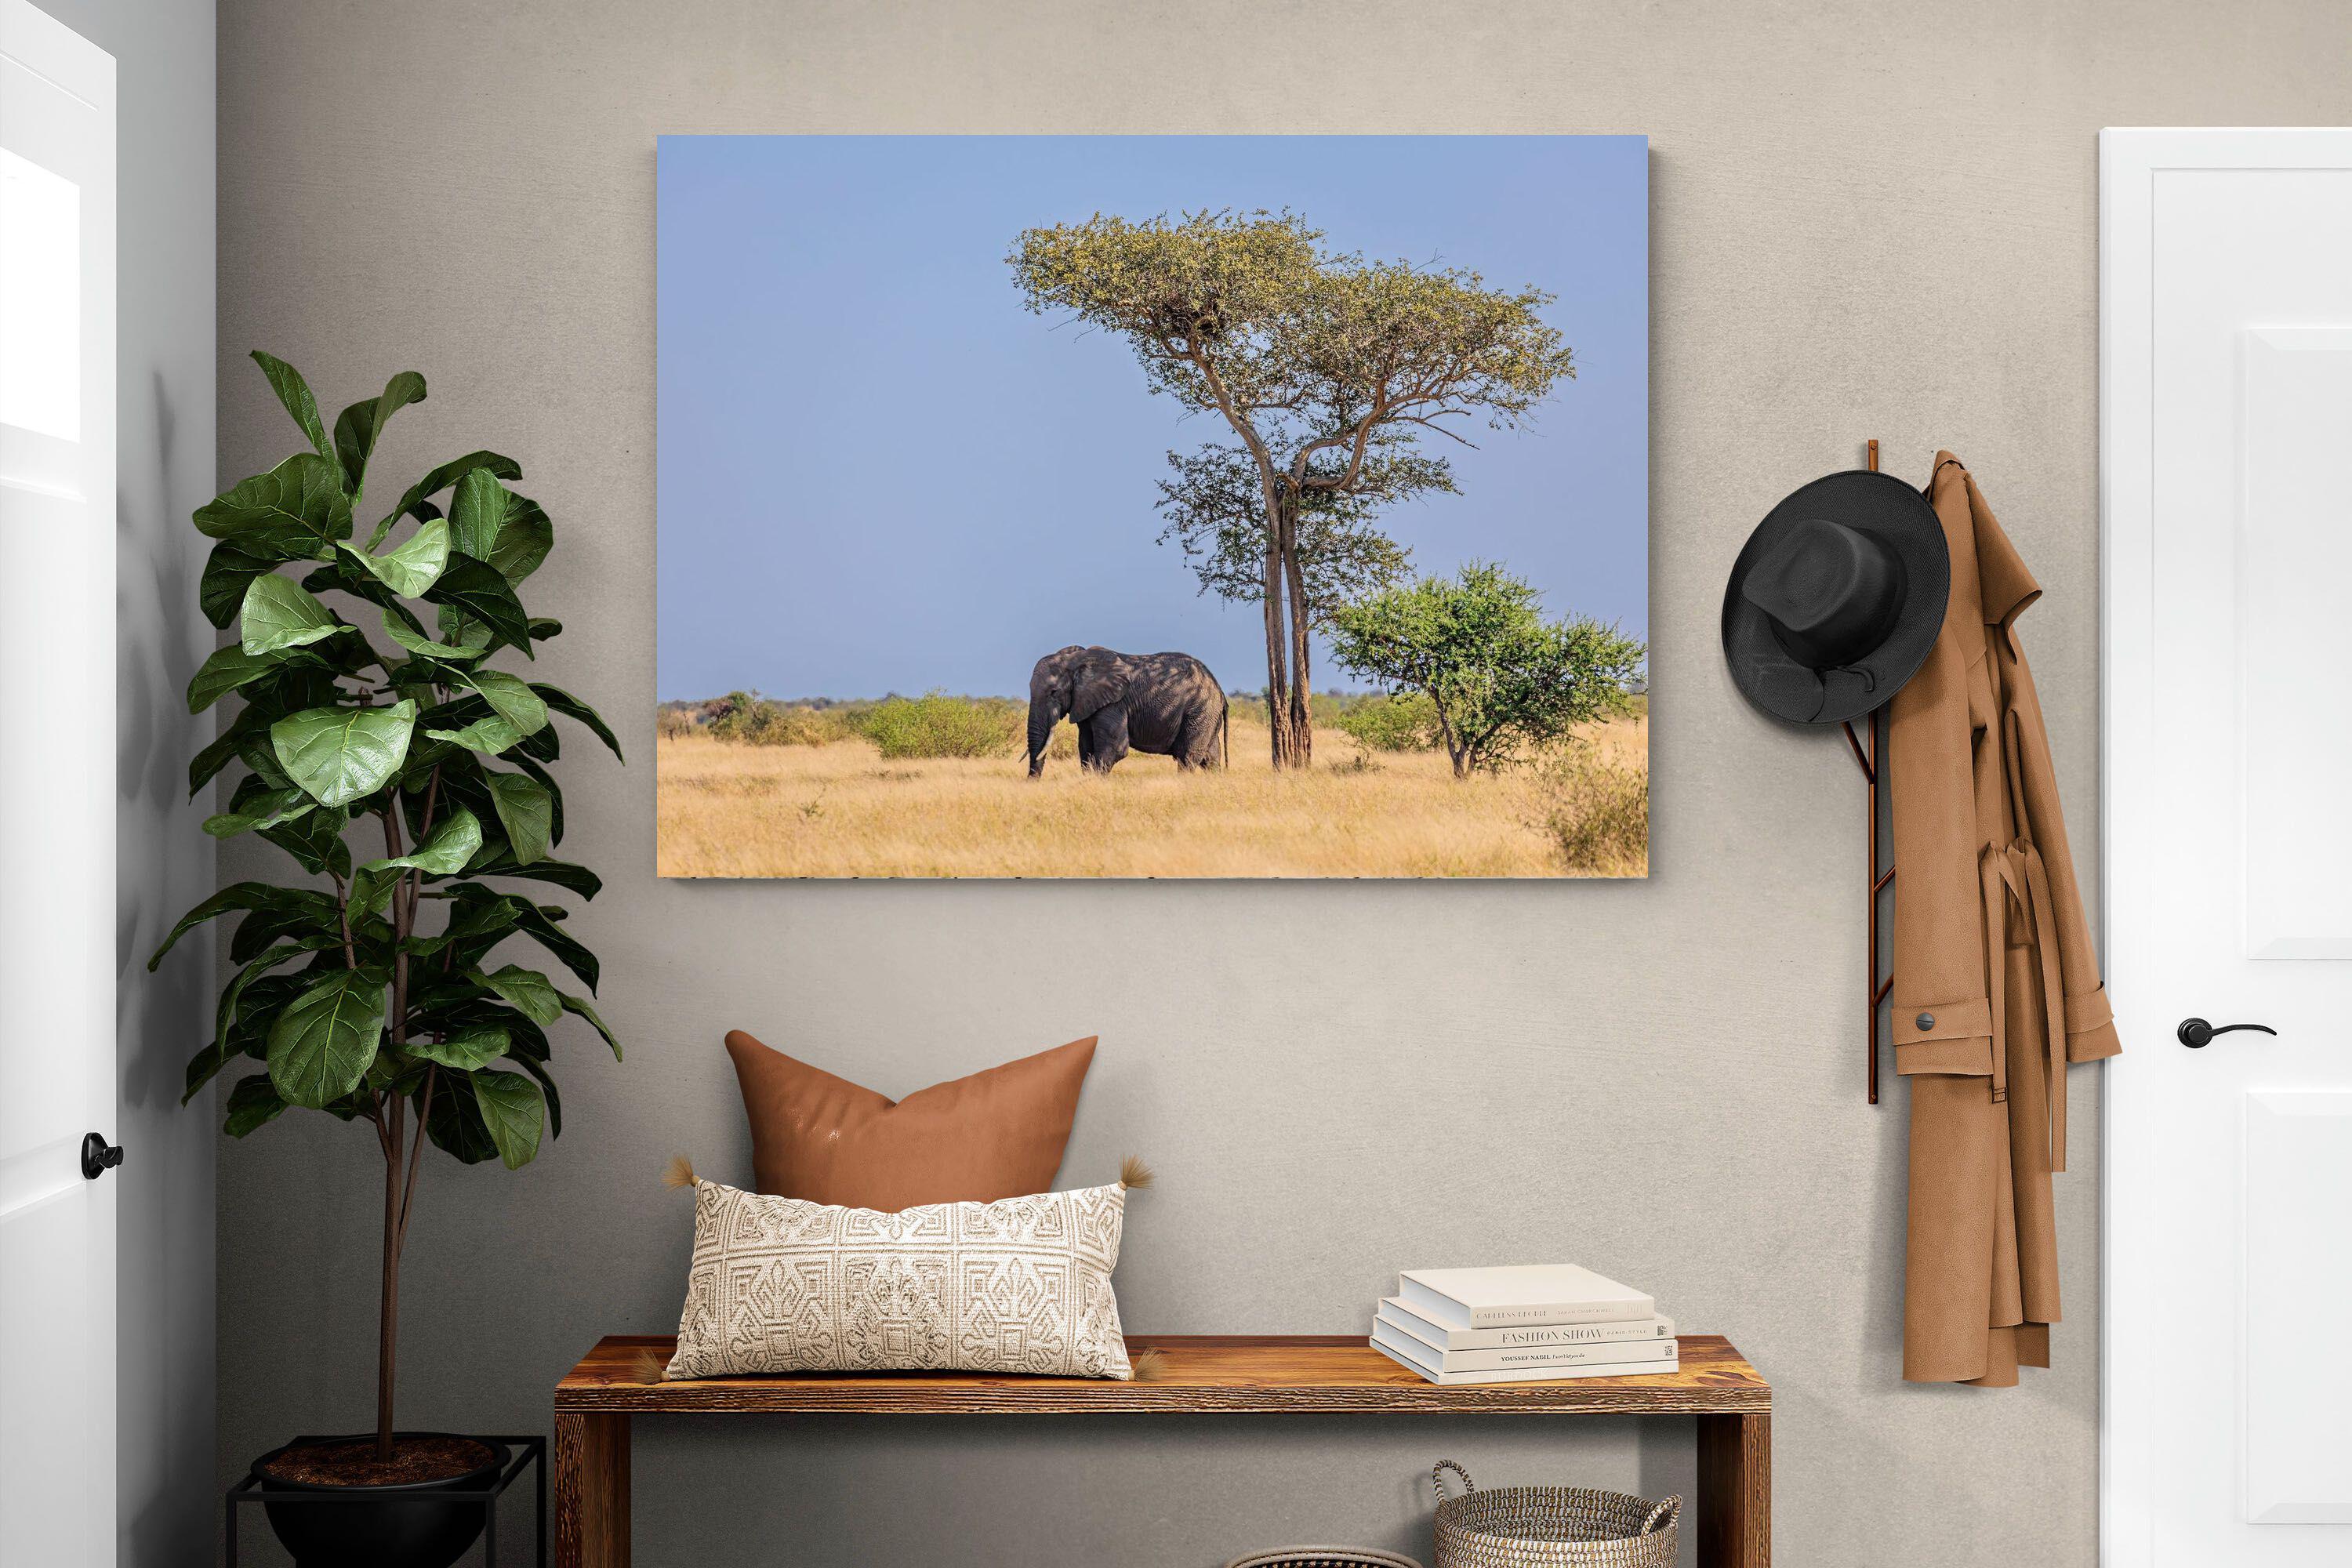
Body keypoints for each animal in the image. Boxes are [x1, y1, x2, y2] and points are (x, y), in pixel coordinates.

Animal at [1026, 645, 1228, 777]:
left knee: (1187, 757)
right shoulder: (1086, 703)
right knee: (1211, 759)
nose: (1032, 782)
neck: (1077, 660)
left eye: (1054, 692)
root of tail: (1220, 690)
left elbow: (1115, 749)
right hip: (1206, 715)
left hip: (1199, 710)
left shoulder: (1114, 704)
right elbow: (1085, 748)